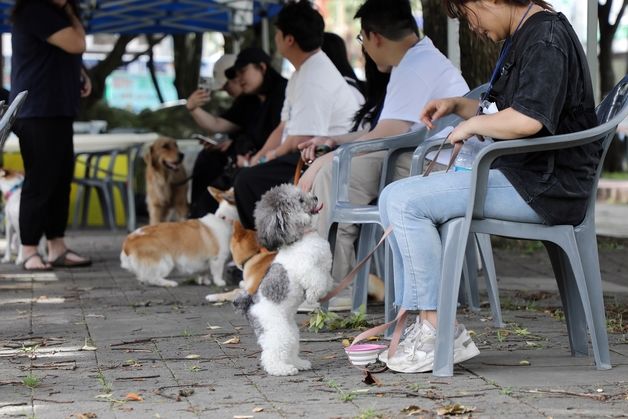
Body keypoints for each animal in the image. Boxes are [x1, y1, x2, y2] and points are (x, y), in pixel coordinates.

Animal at [236, 185, 334, 378]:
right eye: (300, 200)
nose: (315, 197)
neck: (301, 238)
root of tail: (250, 309)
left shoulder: (323, 266)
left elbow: (325, 279)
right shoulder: (307, 268)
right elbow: (315, 281)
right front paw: (313, 296)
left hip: (291, 330)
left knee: (290, 348)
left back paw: (299, 363)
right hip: (278, 331)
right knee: (271, 354)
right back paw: (281, 369)